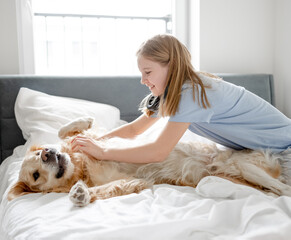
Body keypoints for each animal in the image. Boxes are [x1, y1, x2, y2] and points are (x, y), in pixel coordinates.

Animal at [6, 116, 291, 206]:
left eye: (39, 154)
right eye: (35, 175)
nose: (47, 153)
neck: (81, 167)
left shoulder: (98, 139)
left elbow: (65, 132)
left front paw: (82, 122)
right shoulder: (132, 181)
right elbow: (102, 189)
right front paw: (80, 194)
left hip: (246, 165)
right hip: (244, 171)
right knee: (282, 190)